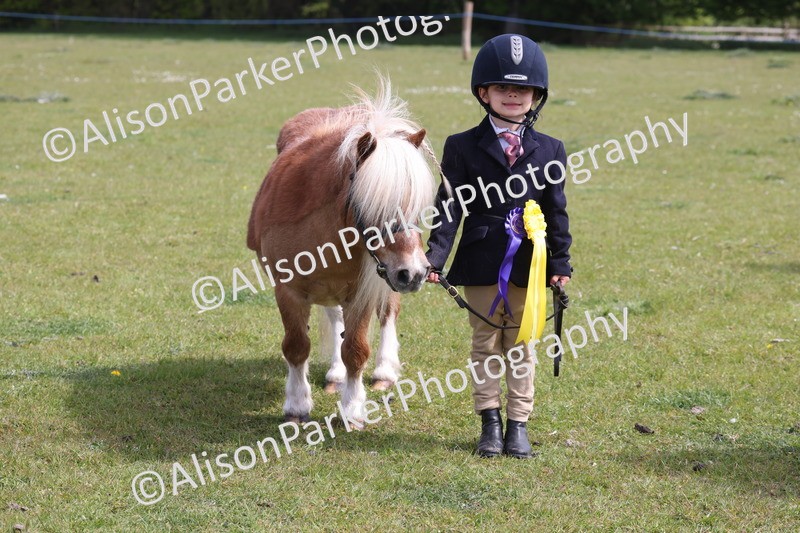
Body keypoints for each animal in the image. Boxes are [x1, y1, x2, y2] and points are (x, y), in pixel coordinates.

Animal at [247, 78, 440, 426]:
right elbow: (297, 346)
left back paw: (384, 371)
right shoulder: (288, 290)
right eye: (373, 205)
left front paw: (352, 409)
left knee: (388, 314)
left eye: (420, 207)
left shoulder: (363, 292)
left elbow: (356, 349)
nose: (414, 273)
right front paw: (297, 405)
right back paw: (335, 376)